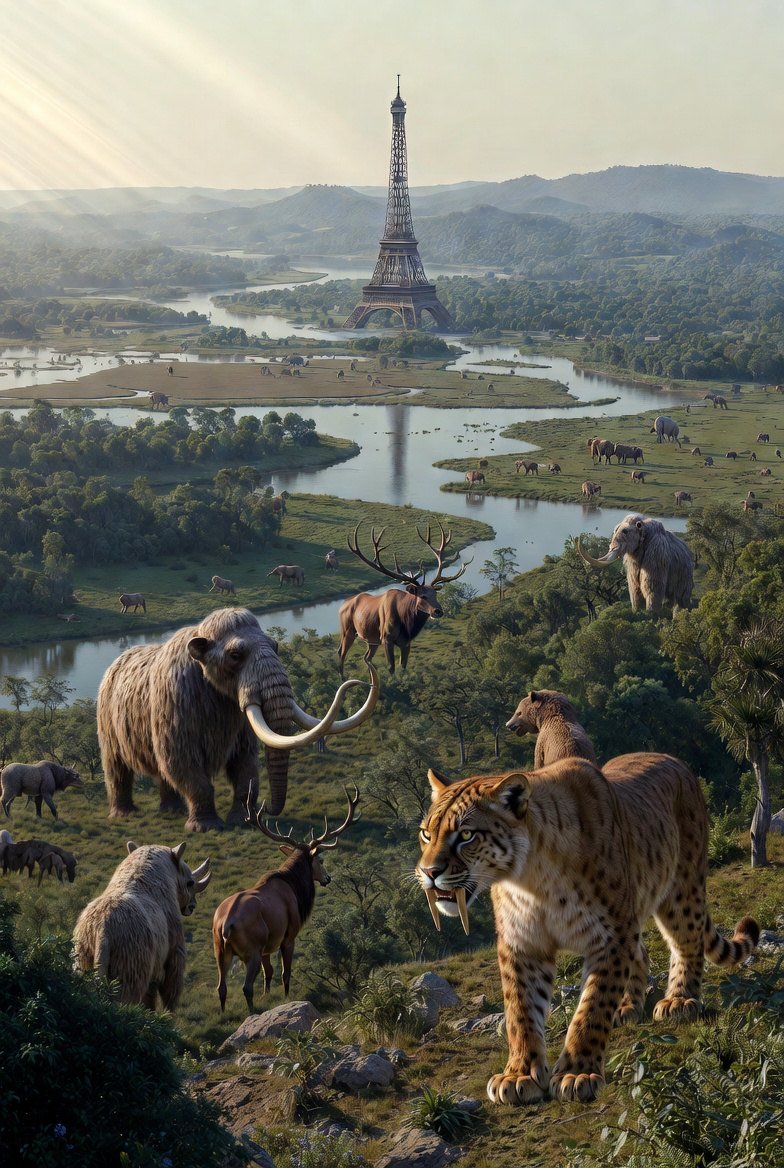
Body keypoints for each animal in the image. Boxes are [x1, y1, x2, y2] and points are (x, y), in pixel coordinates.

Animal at [211, 787, 360, 1014]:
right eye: (320, 860)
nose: (328, 878)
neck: (295, 888)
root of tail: (225, 924)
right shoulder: (289, 935)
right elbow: (285, 973)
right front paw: (286, 998)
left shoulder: (267, 946)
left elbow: (269, 974)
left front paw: (267, 996)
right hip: (251, 949)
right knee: (246, 987)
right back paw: (252, 1012)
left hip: (220, 950)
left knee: (221, 987)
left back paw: (223, 1013)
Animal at [337, 522, 469, 676]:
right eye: (422, 596)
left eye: (435, 594)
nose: (438, 611)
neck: (407, 623)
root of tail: (342, 605)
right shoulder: (386, 638)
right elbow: (391, 668)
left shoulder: (406, 643)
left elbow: (403, 666)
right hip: (347, 630)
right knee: (341, 653)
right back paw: (343, 677)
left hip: (371, 639)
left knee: (366, 657)